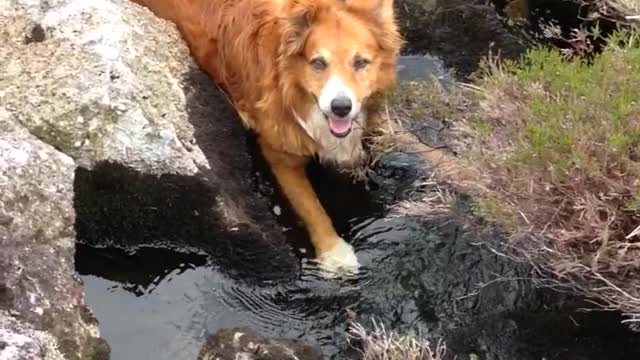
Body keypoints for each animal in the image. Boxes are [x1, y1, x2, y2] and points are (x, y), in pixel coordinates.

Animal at [129, 0, 400, 272]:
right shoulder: (280, 154)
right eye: (318, 63)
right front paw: (334, 254)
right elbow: (311, 207)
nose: (340, 107)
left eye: (361, 62)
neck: (290, 84)